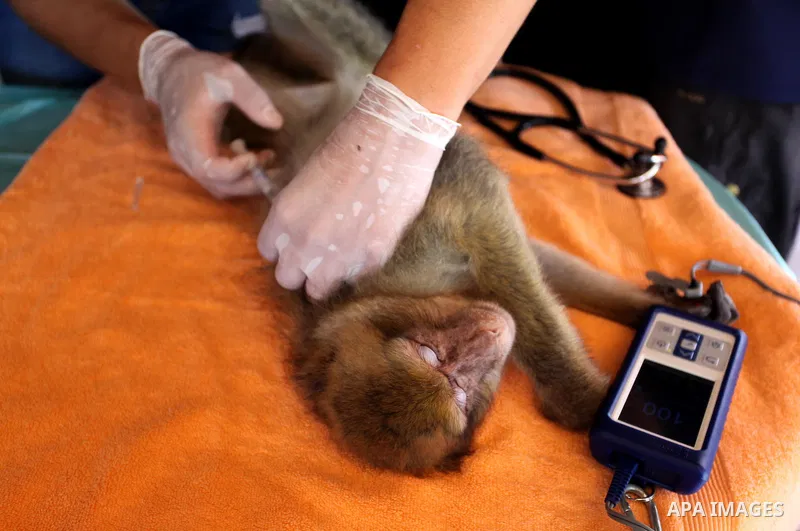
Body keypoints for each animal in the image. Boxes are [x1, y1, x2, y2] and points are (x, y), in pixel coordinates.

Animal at [221, 0, 709, 475]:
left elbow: (484, 208)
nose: (489, 335)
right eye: (459, 390)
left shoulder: (401, 251)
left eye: (428, 354)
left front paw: (585, 393)